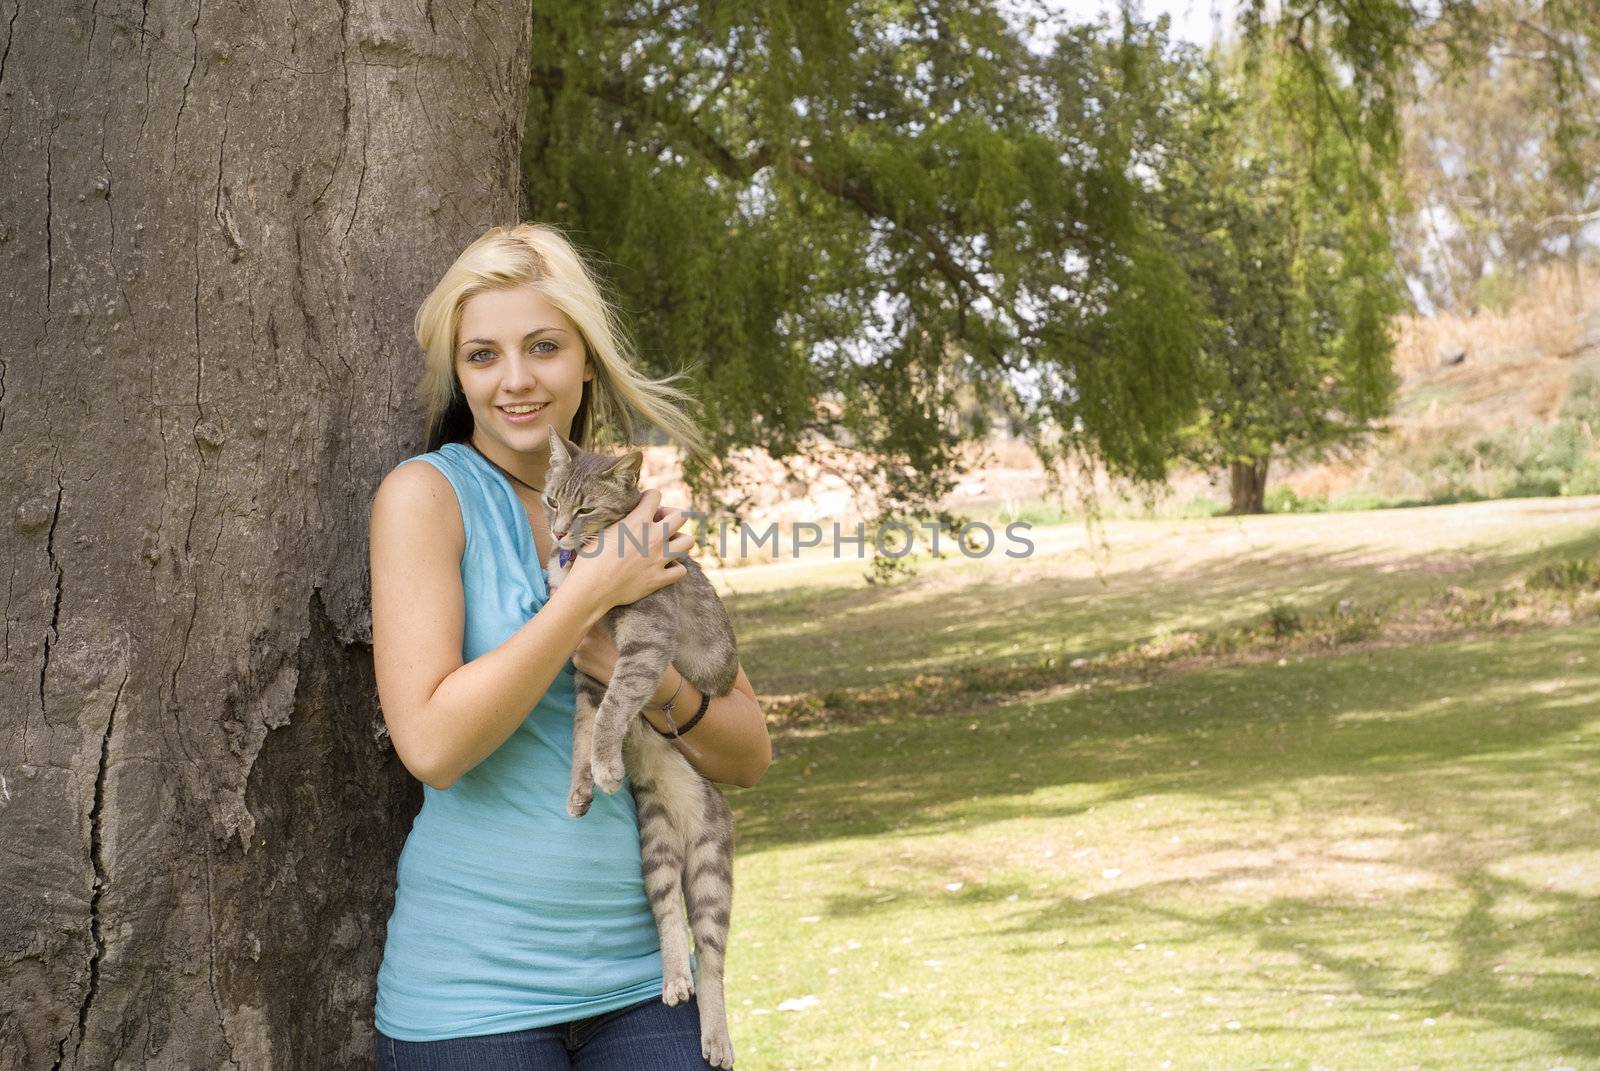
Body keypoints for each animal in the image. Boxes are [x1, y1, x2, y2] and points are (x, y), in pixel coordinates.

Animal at [537, 429, 736, 1069]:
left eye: (585, 510)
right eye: (551, 501)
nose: (557, 534)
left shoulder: (643, 643)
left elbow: (608, 717)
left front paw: (602, 765)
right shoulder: (583, 672)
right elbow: (581, 728)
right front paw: (580, 786)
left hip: (711, 868)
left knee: (713, 959)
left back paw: (715, 1036)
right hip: (654, 849)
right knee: (671, 921)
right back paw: (673, 980)